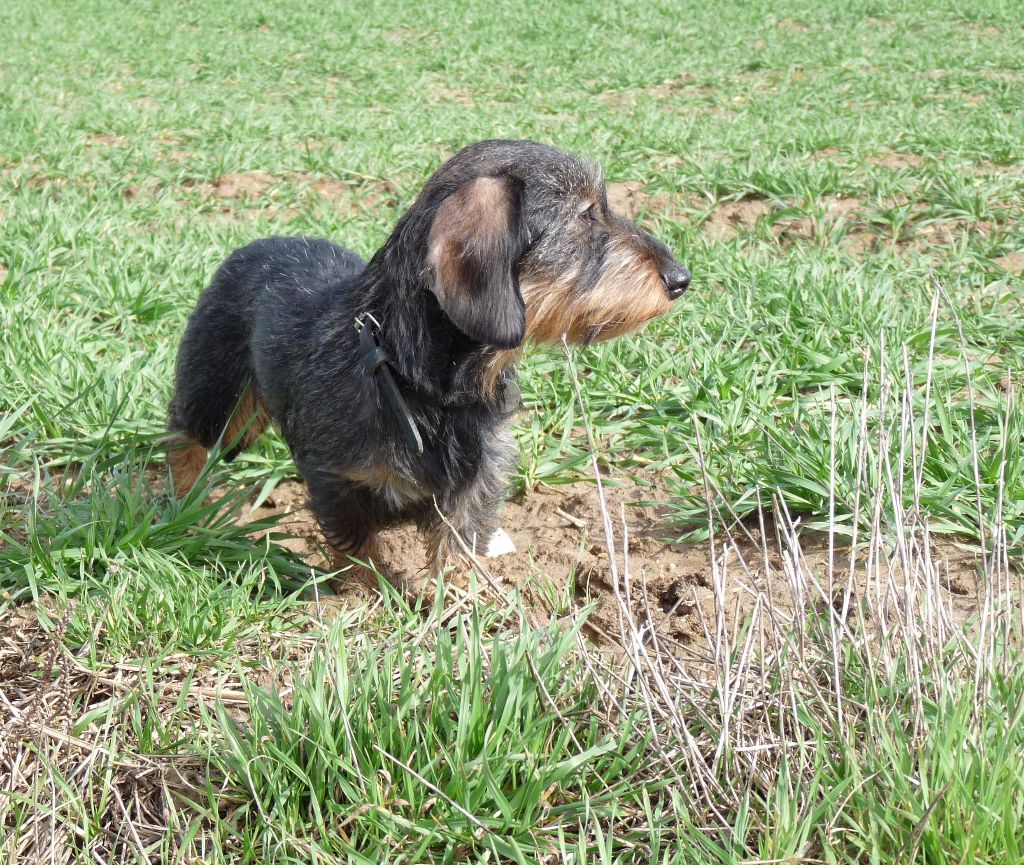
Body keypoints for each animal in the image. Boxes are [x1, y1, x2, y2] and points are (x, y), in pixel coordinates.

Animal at [167, 140, 692, 585]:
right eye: (585, 214)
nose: (681, 278)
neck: (426, 387)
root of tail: (256, 244)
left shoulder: (476, 485)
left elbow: (457, 548)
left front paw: (458, 606)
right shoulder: (336, 481)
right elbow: (359, 553)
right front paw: (374, 597)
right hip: (216, 396)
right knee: (184, 441)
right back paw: (182, 507)